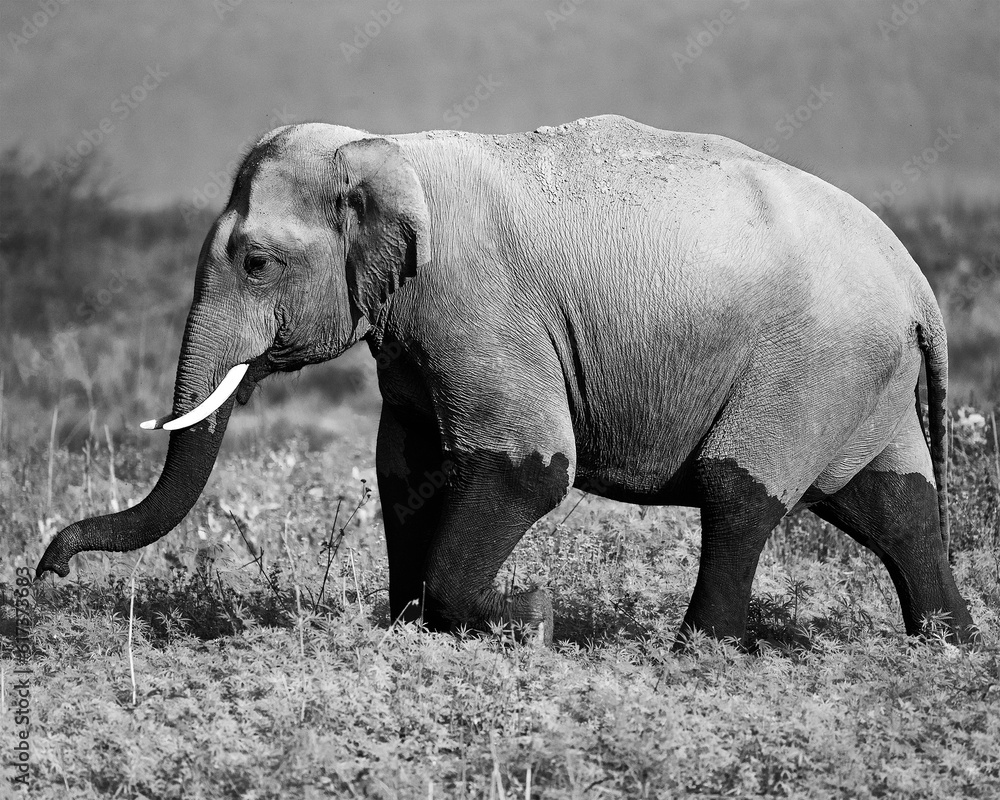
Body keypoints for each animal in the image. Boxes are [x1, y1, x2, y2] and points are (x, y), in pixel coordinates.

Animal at [36, 114, 976, 646]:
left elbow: (528, 467)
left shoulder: (478, 305)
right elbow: (406, 468)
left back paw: (698, 654)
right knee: (893, 503)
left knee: (738, 490)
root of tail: (920, 287)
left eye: (256, 263)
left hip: (812, 365)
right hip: (862, 380)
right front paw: (415, 628)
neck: (387, 150)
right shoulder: (416, 331)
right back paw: (946, 644)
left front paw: (531, 616)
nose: (49, 572)